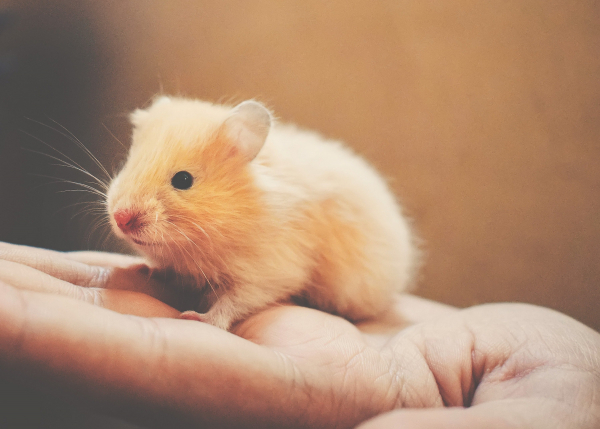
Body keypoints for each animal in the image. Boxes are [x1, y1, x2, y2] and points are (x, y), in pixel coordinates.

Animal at [106, 97, 418, 330]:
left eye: (183, 180)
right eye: (128, 164)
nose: (121, 218)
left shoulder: (269, 273)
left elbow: (233, 302)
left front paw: (198, 318)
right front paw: (144, 269)